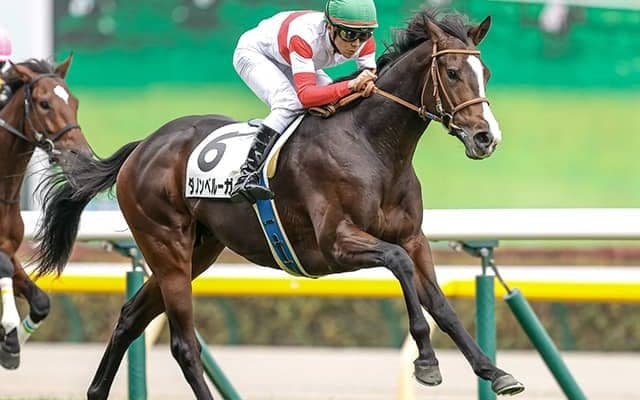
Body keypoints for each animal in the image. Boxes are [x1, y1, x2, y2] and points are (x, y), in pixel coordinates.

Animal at [0, 55, 92, 369]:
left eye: (75, 102)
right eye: (44, 103)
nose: (82, 157)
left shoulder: (10, 248)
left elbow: (41, 302)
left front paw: (11, 344)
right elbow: (3, 268)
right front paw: (8, 329)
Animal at [33, 9, 525, 399]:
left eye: (486, 73)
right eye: (453, 73)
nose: (487, 137)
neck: (373, 147)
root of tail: (143, 148)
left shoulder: (413, 236)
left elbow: (440, 303)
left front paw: (495, 371)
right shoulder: (336, 243)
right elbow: (400, 266)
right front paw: (426, 362)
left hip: (198, 252)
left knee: (130, 317)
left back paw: (96, 392)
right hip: (166, 246)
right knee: (183, 344)